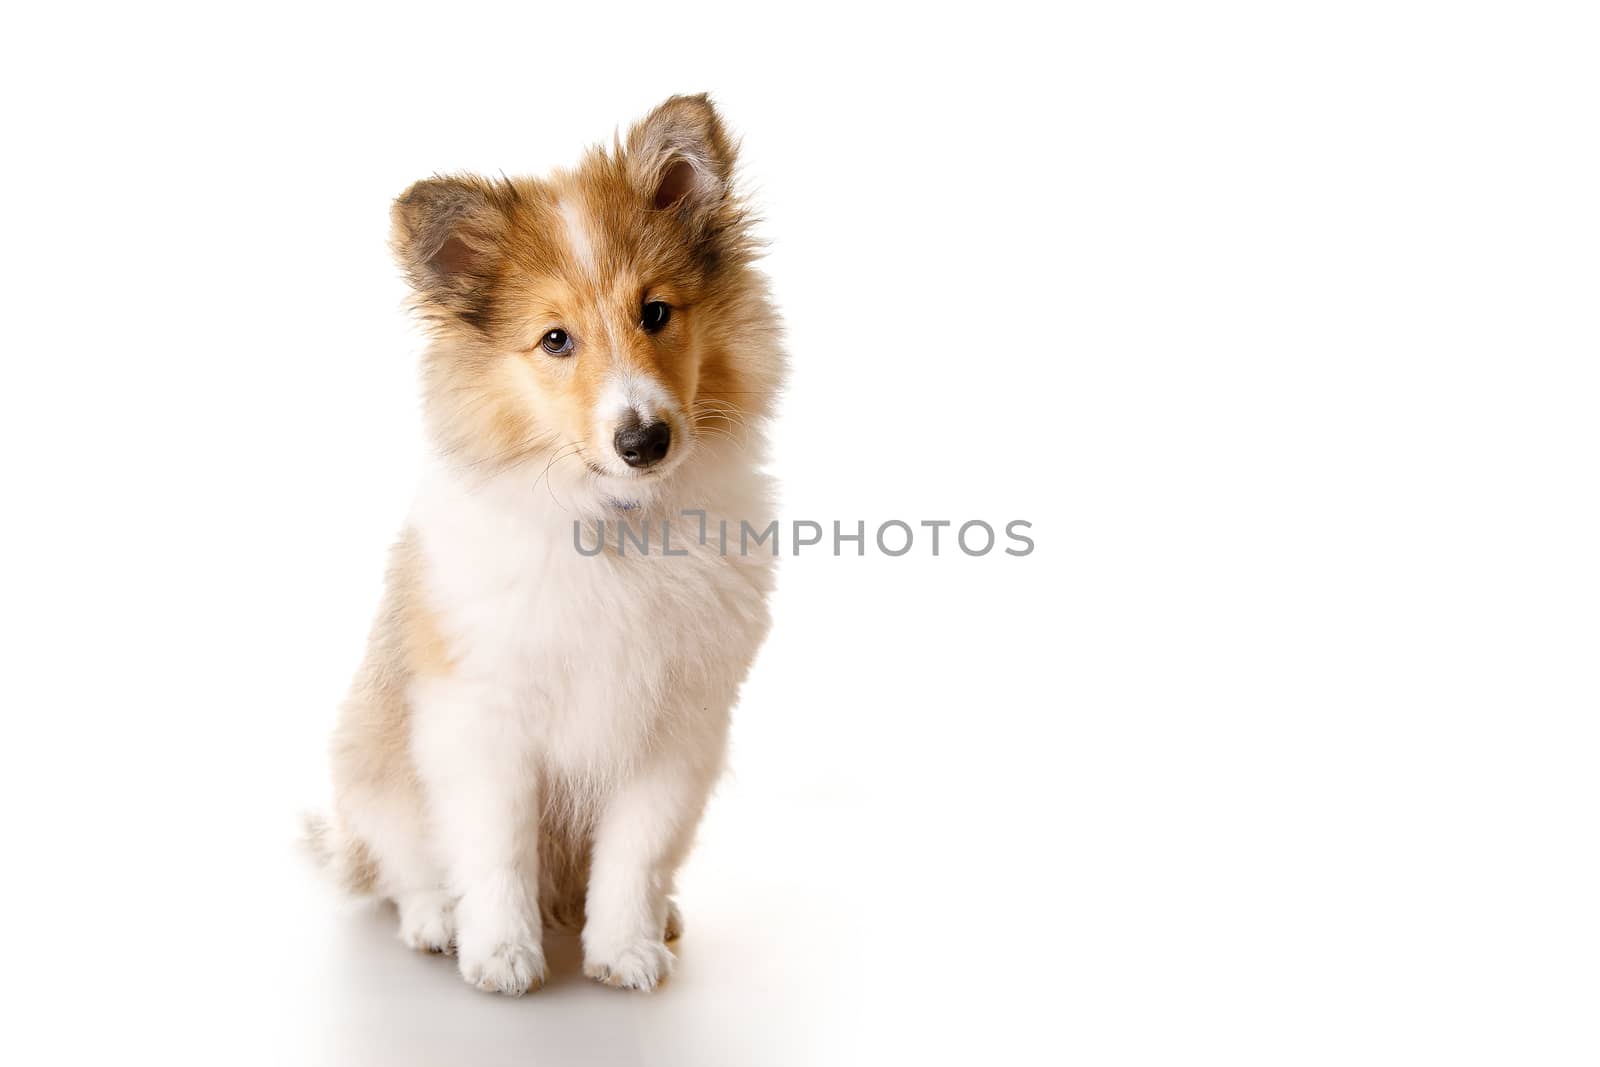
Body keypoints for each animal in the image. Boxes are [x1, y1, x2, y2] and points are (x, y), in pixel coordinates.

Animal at [305, 95, 780, 998]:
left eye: (656, 312)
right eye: (556, 340)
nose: (645, 440)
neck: (616, 527)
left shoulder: (675, 730)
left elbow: (636, 855)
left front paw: (624, 951)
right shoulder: (483, 721)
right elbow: (495, 852)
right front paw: (500, 957)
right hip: (372, 768)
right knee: (403, 866)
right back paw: (437, 921)